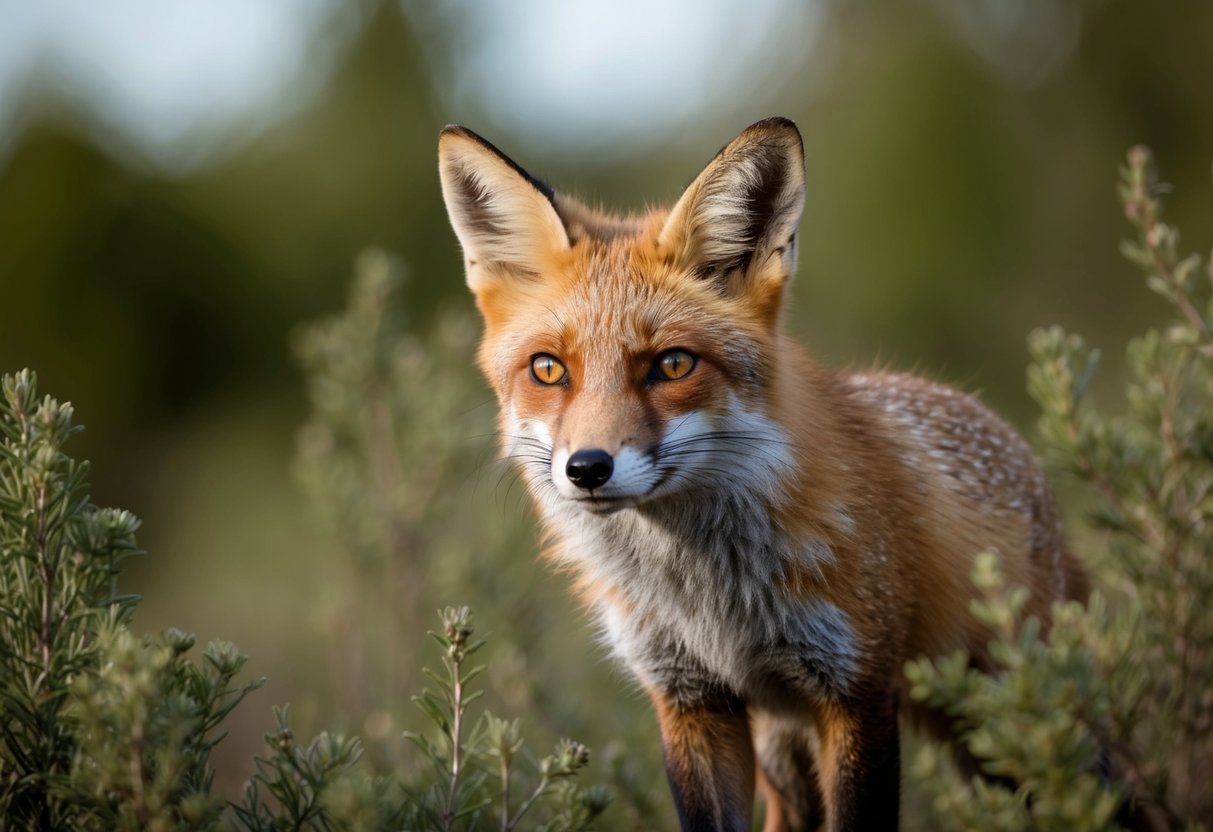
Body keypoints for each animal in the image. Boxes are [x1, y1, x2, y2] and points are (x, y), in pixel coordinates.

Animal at [436, 117, 1088, 832]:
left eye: (672, 365)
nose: (587, 469)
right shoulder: (691, 700)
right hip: (790, 753)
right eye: (548, 369)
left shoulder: (857, 692)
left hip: (1007, 723)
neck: (712, 602)